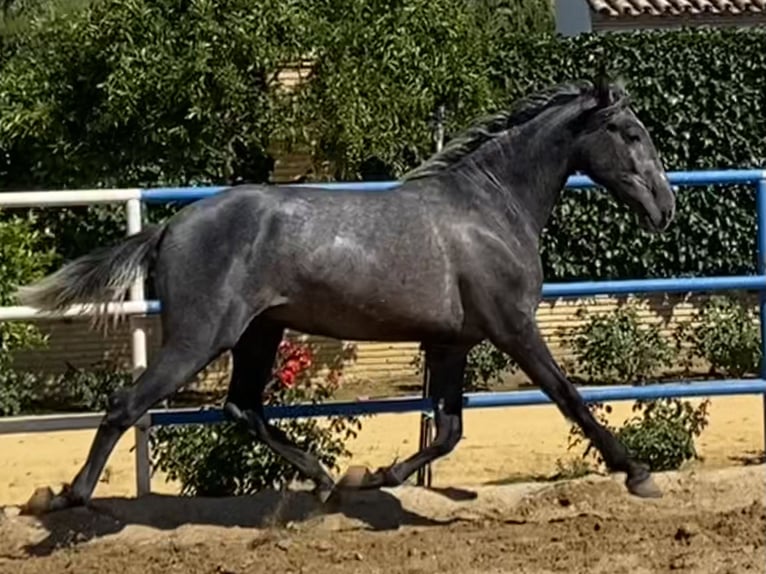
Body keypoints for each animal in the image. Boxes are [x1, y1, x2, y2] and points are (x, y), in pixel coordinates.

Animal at [16, 76, 680, 512]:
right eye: (628, 132)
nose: (665, 208)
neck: (490, 208)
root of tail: (171, 226)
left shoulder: (453, 342)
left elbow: (447, 429)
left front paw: (377, 475)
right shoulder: (512, 327)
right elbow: (569, 397)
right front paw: (638, 472)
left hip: (261, 332)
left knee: (242, 407)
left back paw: (327, 479)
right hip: (200, 338)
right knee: (125, 404)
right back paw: (68, 500)